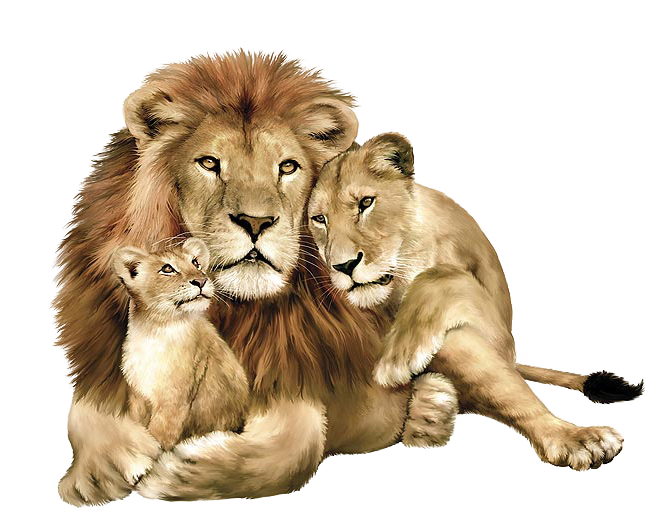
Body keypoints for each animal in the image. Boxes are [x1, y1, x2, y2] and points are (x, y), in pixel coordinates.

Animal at [50, 49, 460, 507]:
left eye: (288, 166)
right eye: (209, 163)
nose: (256, 221)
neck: (238, 311)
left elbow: (299, 446)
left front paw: (181, 472)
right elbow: (86, 409)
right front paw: (97, 471)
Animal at [307, 131, 643, 472]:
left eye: (366, 203)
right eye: (319, 219)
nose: (343, 266)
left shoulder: (494, 324)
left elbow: (441, 274)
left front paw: (397, 359)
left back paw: (578, 440)